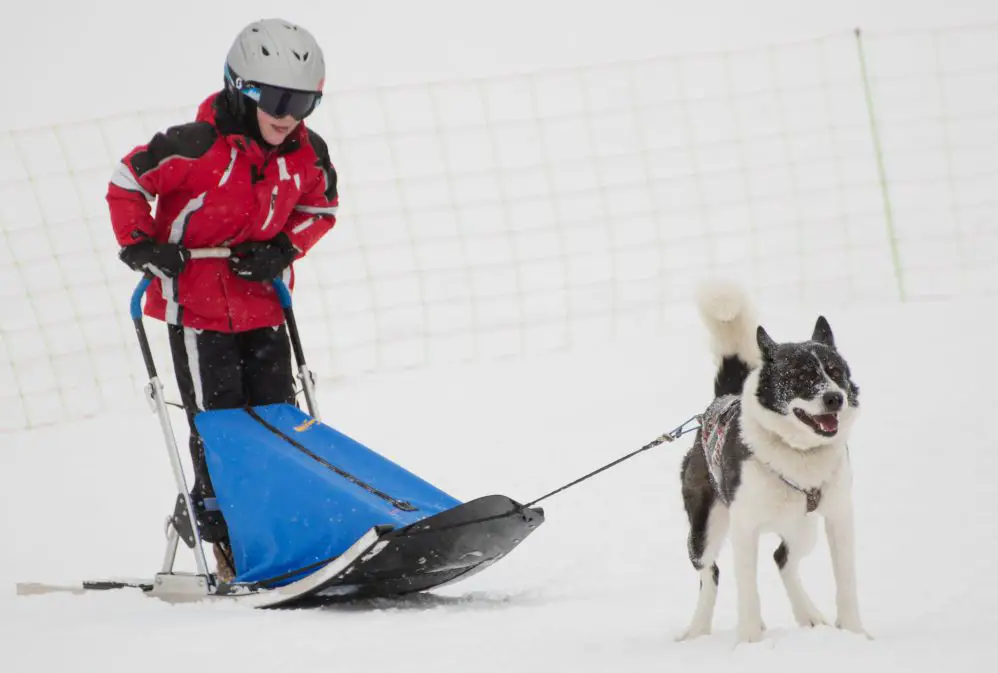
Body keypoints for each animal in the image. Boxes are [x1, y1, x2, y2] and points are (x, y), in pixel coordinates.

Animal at [676, 280, 872, 644]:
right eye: (801, 376)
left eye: (836, 372)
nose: (835, 398)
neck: (798, 454)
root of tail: (721, 400)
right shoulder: (743, 526)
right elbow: (747, 591)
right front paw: (749, 642)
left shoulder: (838, 517)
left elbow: (846, 583)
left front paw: (855, 633)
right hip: (704, 530)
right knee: (710, 572)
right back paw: (697, 629)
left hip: (803, 528)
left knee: (782, 558)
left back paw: (810, 616)